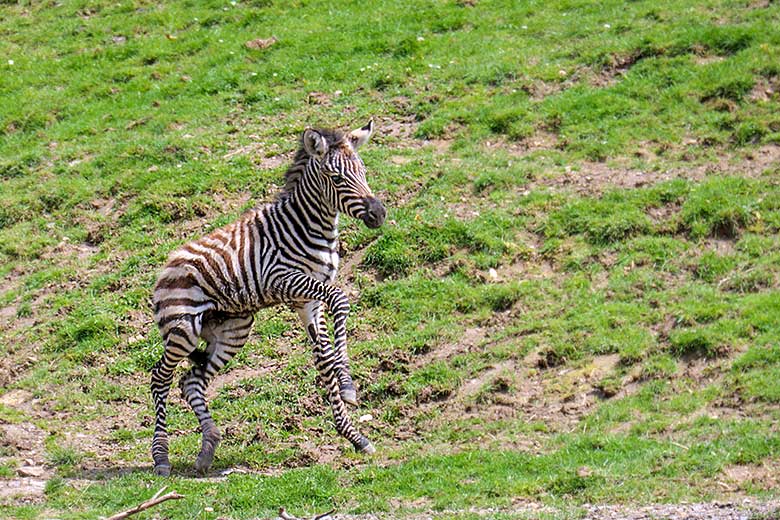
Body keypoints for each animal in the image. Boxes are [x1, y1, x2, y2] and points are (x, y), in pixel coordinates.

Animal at [148, 121, 386, 476]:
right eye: (336, 178)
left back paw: (208, 448)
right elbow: (341, 300)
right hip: (183, 329)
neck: (307, 226)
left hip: (233, 329)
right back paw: (161, 458)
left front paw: (354, 433)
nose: (378, 214)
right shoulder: (287, 281)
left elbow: (324, 361)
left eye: (363, 172)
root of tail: (164, 269)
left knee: (190, 381)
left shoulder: (308, 302)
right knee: (159, 379)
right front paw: (348, 385)